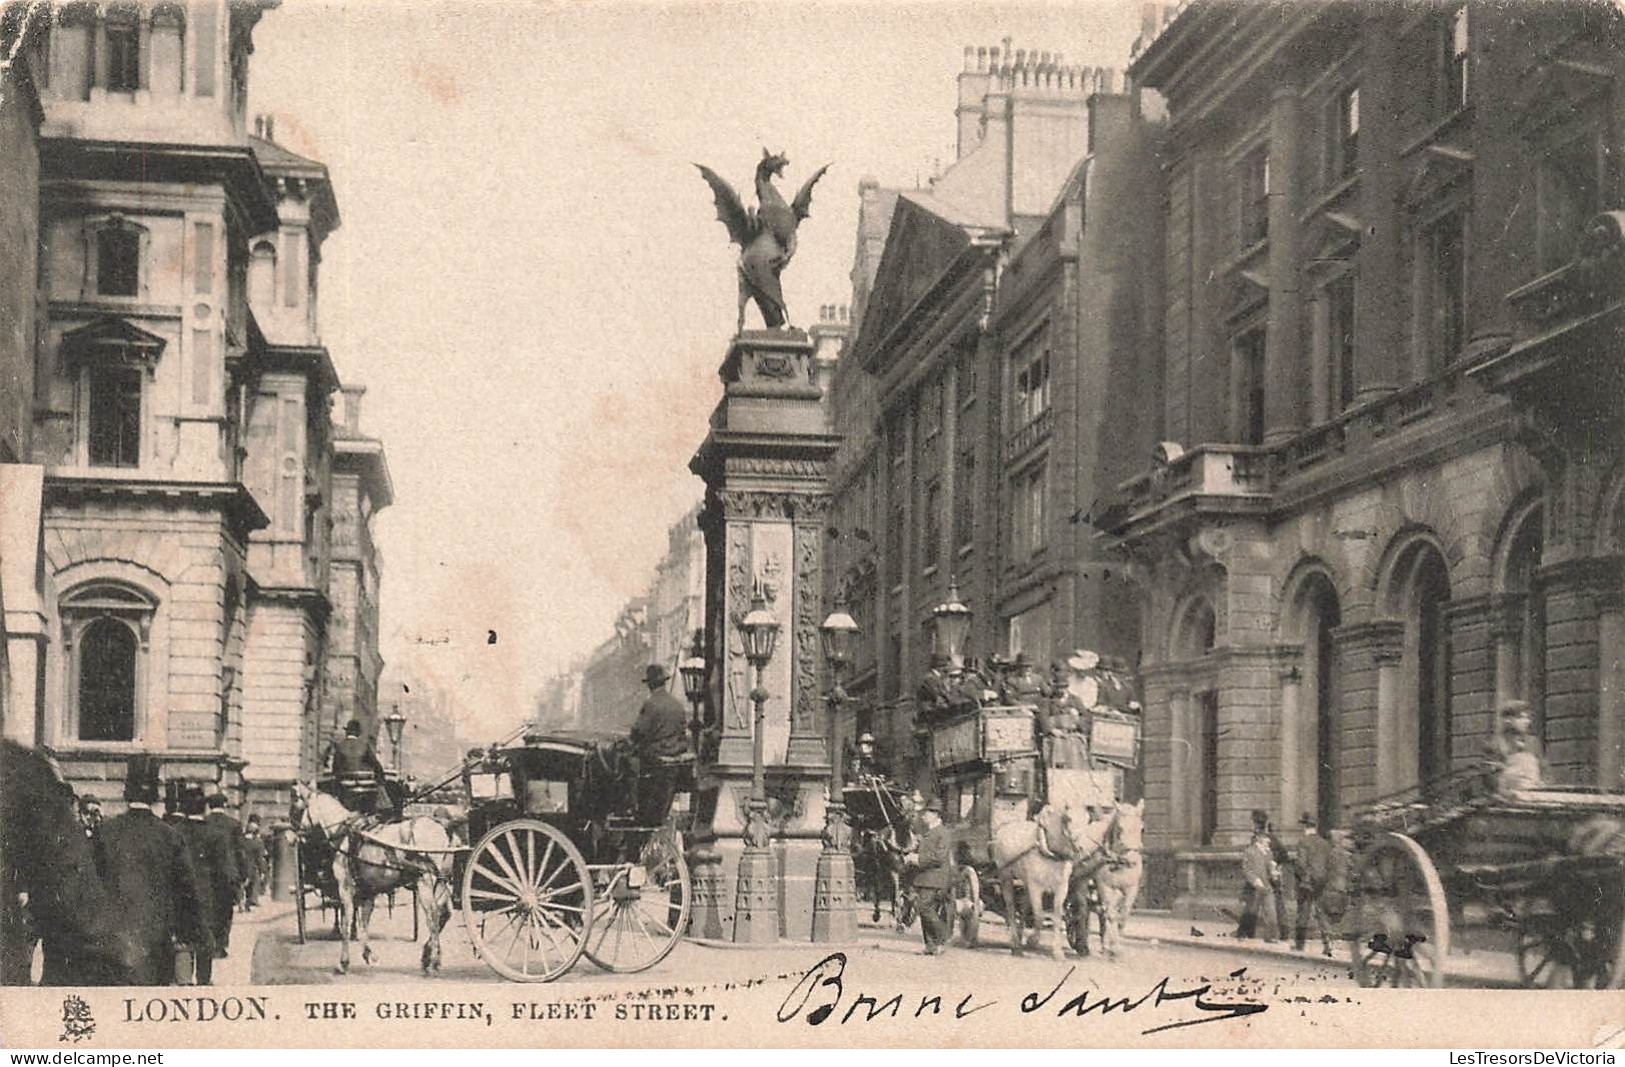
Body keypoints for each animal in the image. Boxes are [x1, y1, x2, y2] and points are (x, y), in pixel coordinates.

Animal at [294, 782, 455, 974]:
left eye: (299, 807)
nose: (296, 834)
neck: (344, 832)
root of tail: (441, 829)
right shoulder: (368, 891)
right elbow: (363, 924)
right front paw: (368, 953)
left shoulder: (345, 888)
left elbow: (347, 922)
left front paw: (343, 962)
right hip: (441, 881)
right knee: (445, 913)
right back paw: (429, 955)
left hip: (425, 881)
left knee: (433, 916)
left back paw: (433, 961)